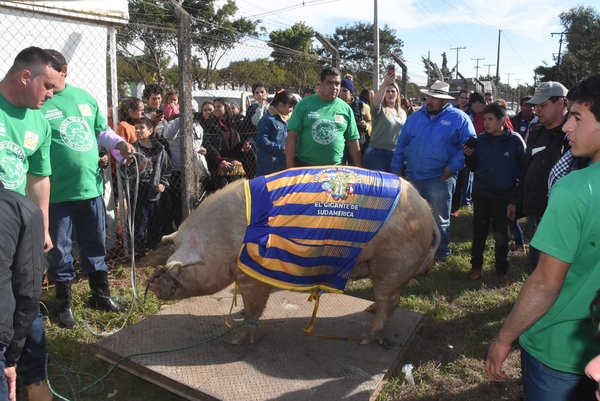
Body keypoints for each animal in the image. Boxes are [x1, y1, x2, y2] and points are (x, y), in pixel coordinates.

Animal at [146, 167, 440, 346]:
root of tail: (427, 211)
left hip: (392, 261)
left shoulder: (254, 274)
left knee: (390, 299)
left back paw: (365, 338)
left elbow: (255, 304)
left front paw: (236, 339)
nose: (155, 284)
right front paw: (237, 315)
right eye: (170, 254)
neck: (220, 239)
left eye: (179, 268)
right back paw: (369, 313)